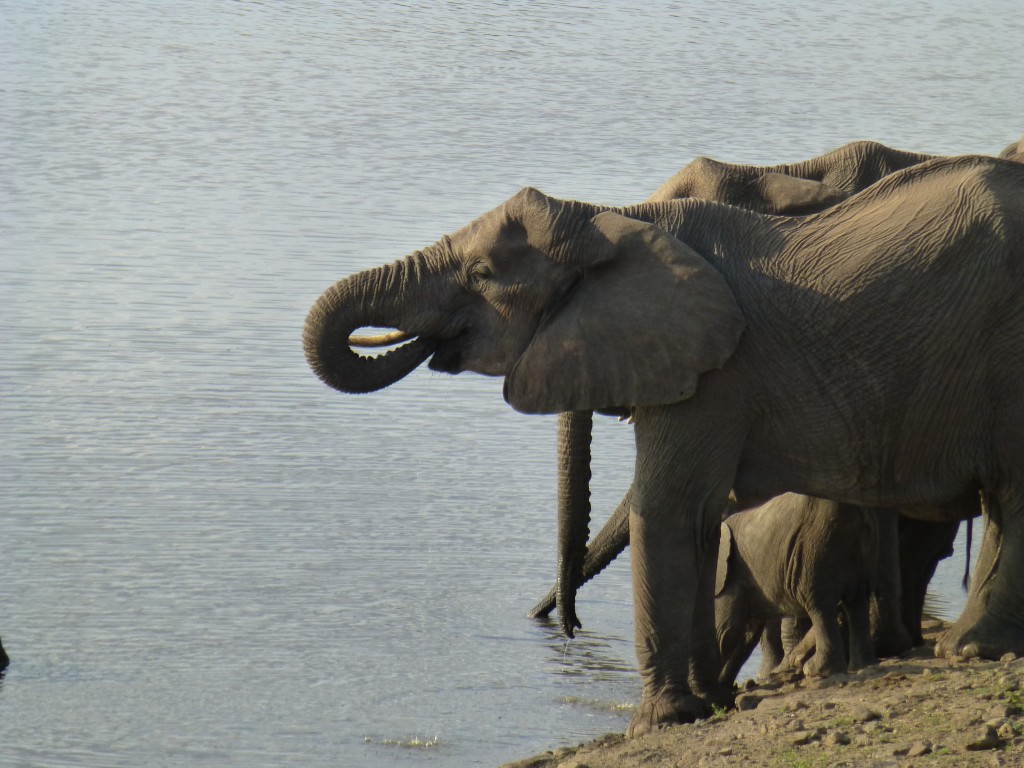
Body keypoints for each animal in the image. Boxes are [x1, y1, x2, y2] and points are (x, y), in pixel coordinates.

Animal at [712, 499, 880, 684]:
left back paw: (815, 670)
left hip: (815, 548)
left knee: (819, 606)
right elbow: (745, 633)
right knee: (857, 602)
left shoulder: (730, 576)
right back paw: (862, 665)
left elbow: (724, 630)